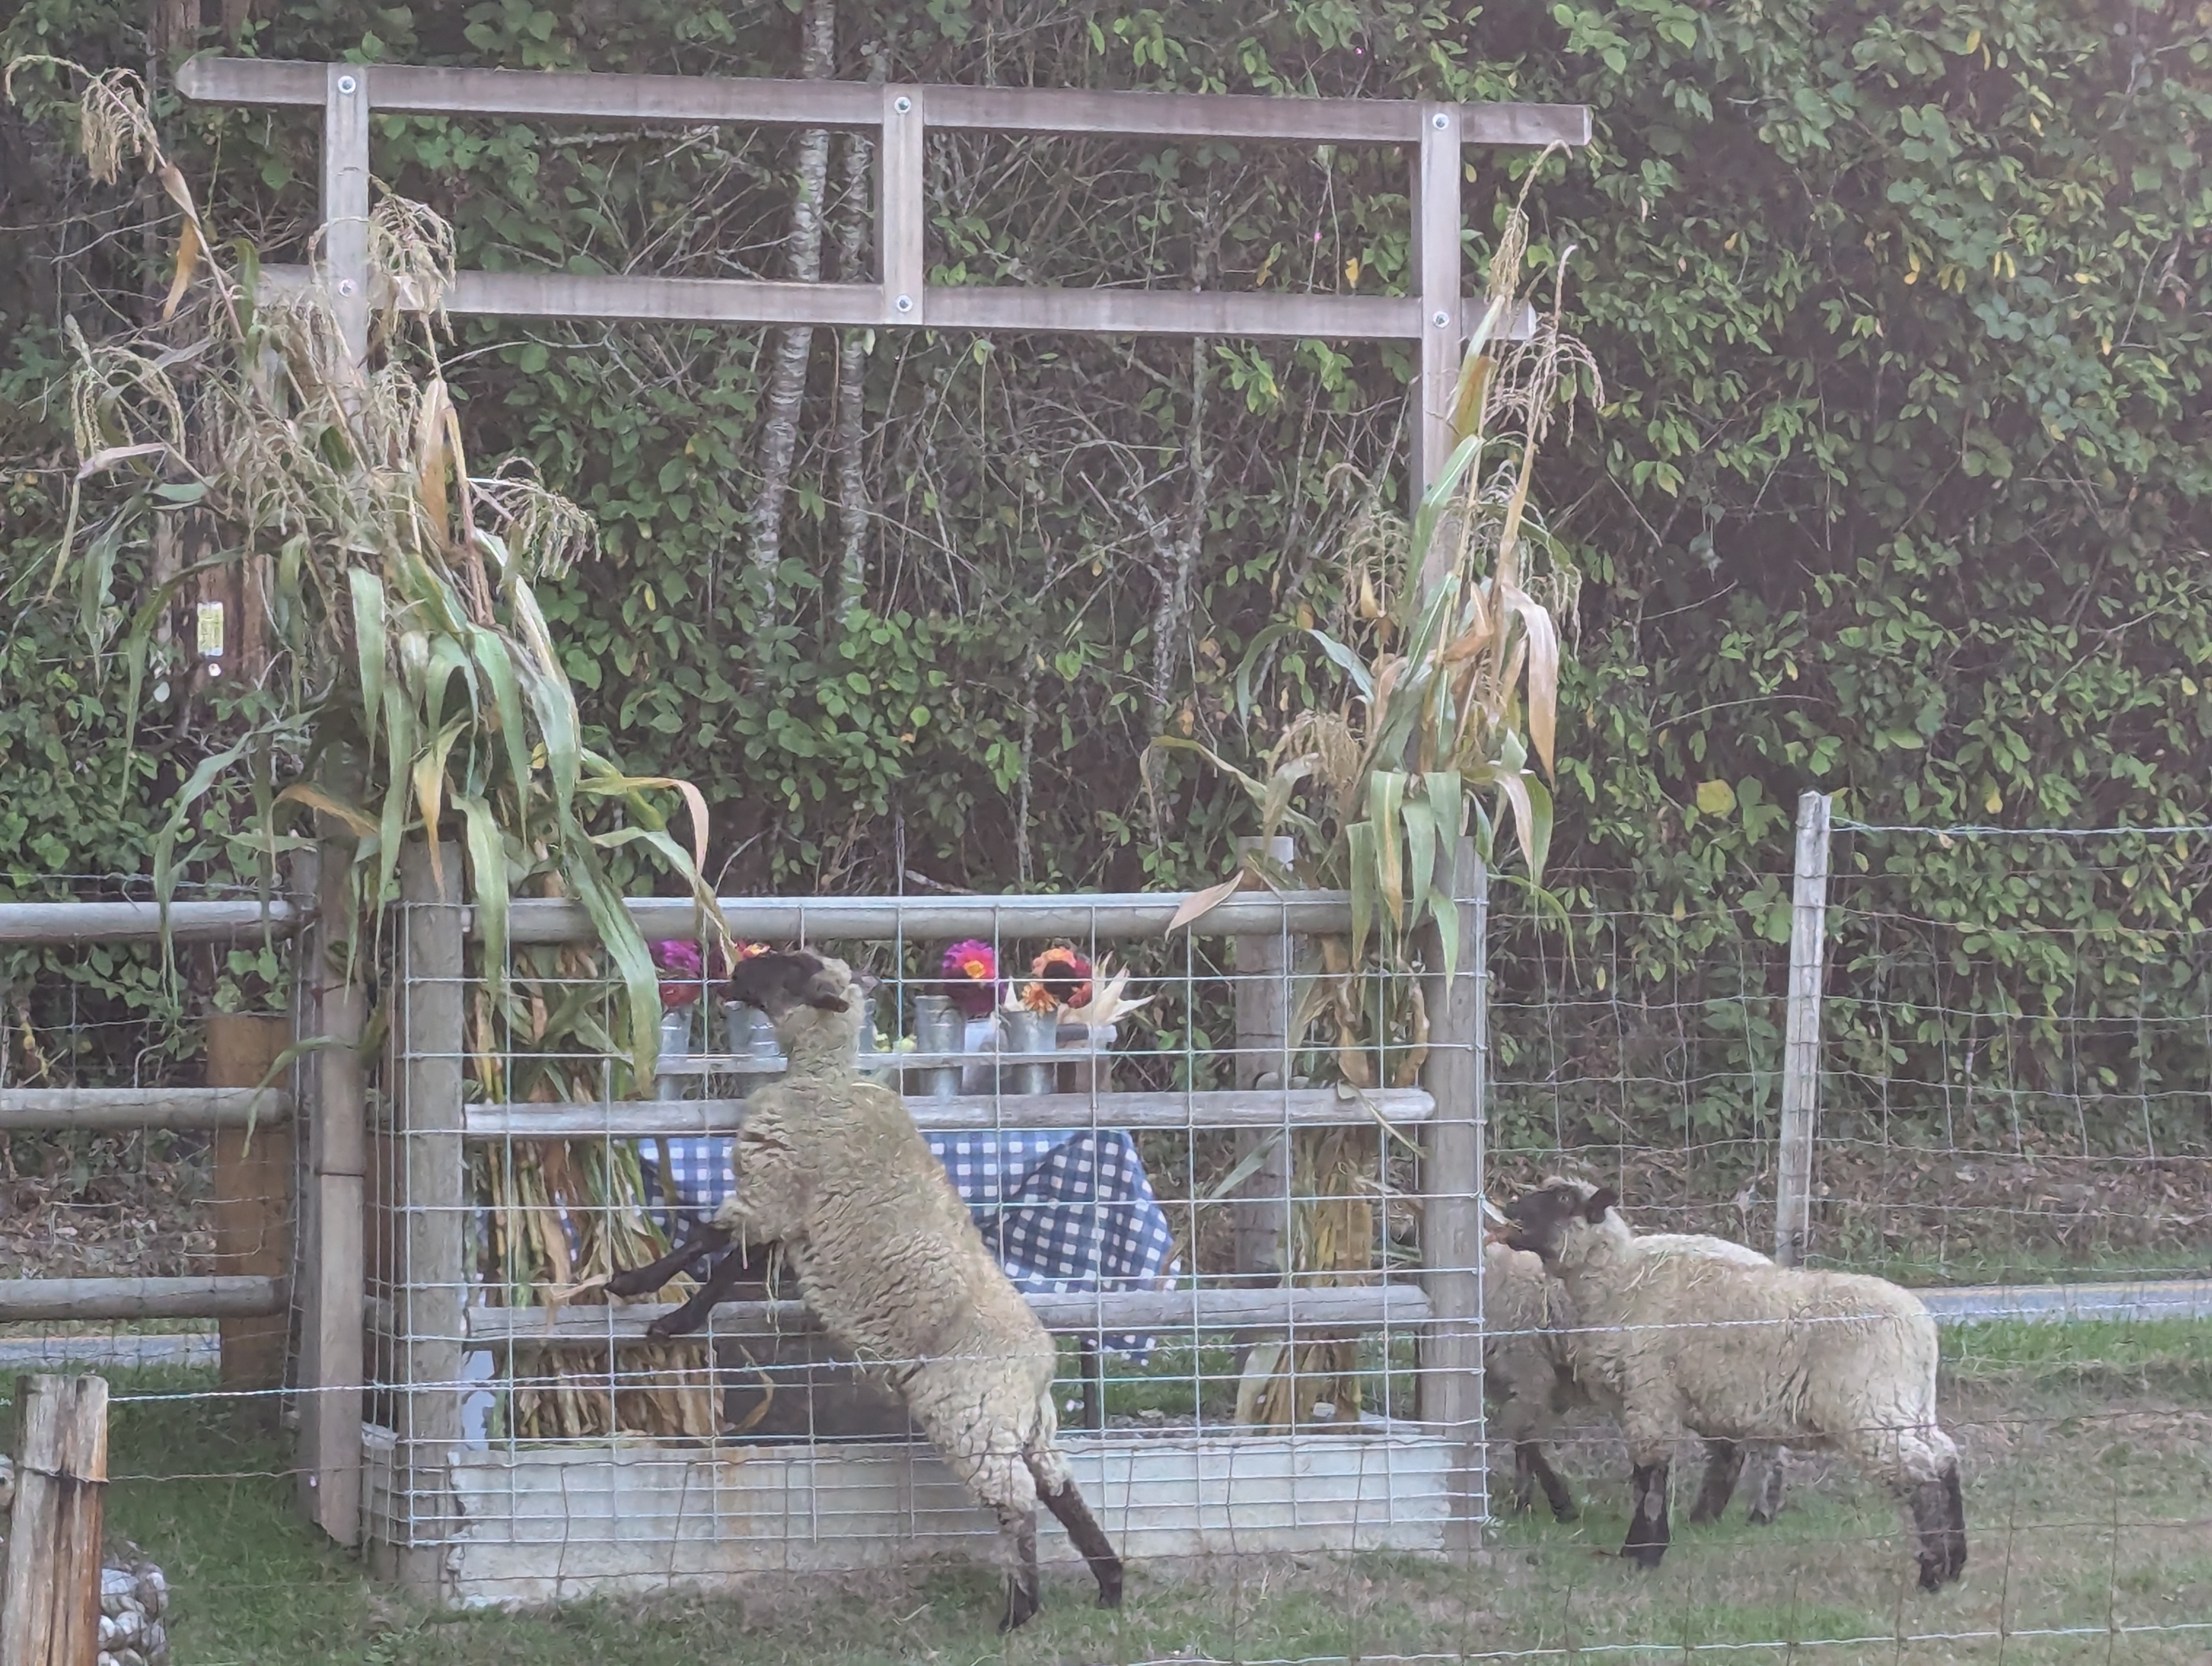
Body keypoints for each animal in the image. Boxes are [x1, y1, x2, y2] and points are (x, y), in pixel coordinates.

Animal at [606, 942, 1123, 1628]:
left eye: (792, 968)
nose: (733, 970)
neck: (823, 1076)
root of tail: (1042, 1366)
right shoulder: (790, 1218)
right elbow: (731, 1268)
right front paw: (669, 1307)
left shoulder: (775, 1190)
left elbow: (707, 1247)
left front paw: (645, 1297)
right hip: (1024, 1423)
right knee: (1059, 1487)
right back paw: (1110, 1586)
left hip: (972, 1415)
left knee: (1016, 1501)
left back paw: (1020, 1613)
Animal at [1477, 1230, 1787, 1531]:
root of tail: (1766, 1264)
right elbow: (1524, 1449)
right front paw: (1523, 1506)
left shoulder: (1529, 1373)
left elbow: (1527, 1442)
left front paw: (1561, 1507)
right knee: (1736, 1448)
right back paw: (1717, 1515)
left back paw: (1746, 1513)